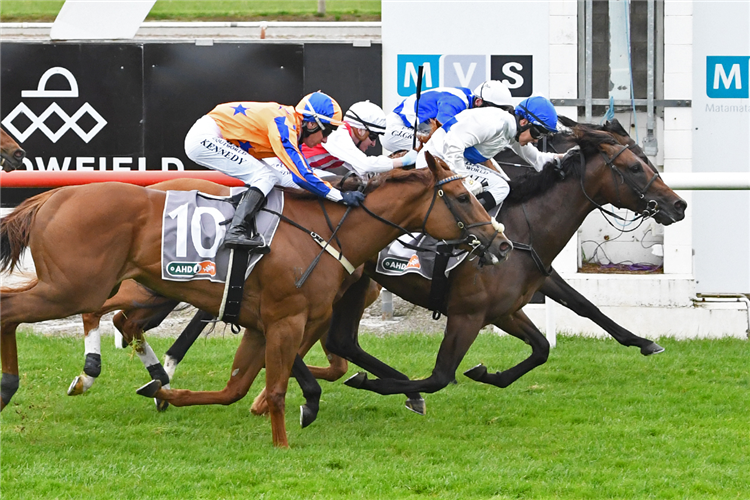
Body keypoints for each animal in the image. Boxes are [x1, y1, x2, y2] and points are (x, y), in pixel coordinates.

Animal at [0, 154, 512, 448]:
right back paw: (27, 384)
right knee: (19, 311)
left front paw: (165, 392)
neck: (326, 232)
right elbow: (280, 385)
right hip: (74, 287)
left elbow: (237, 387)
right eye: (462, 197)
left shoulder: (262, 322)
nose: (502, 243)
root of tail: (49, 200)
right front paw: (283, 442)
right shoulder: (286, 318)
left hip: (95, 286)